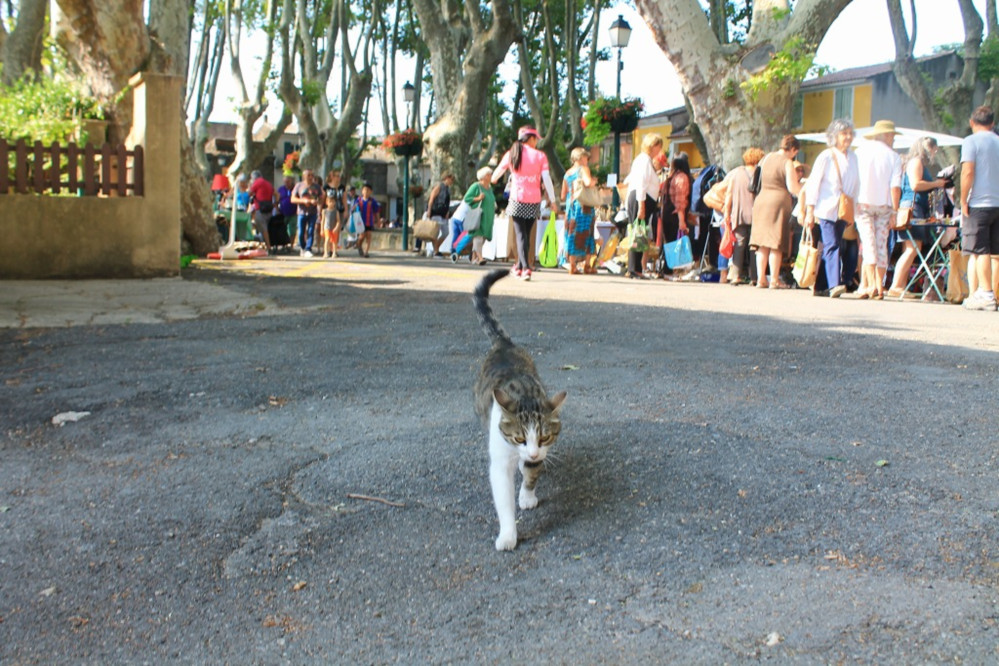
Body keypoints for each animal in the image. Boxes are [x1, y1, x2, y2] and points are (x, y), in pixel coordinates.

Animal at [472, 266, 568, 548]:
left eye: (545, 437)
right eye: (518, 437)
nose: (533, 453)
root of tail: (504, 345)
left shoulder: (540, 451)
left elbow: (531, 474)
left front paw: (527, 496)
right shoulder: (501, 457)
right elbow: (503, 496)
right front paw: (507, 534)